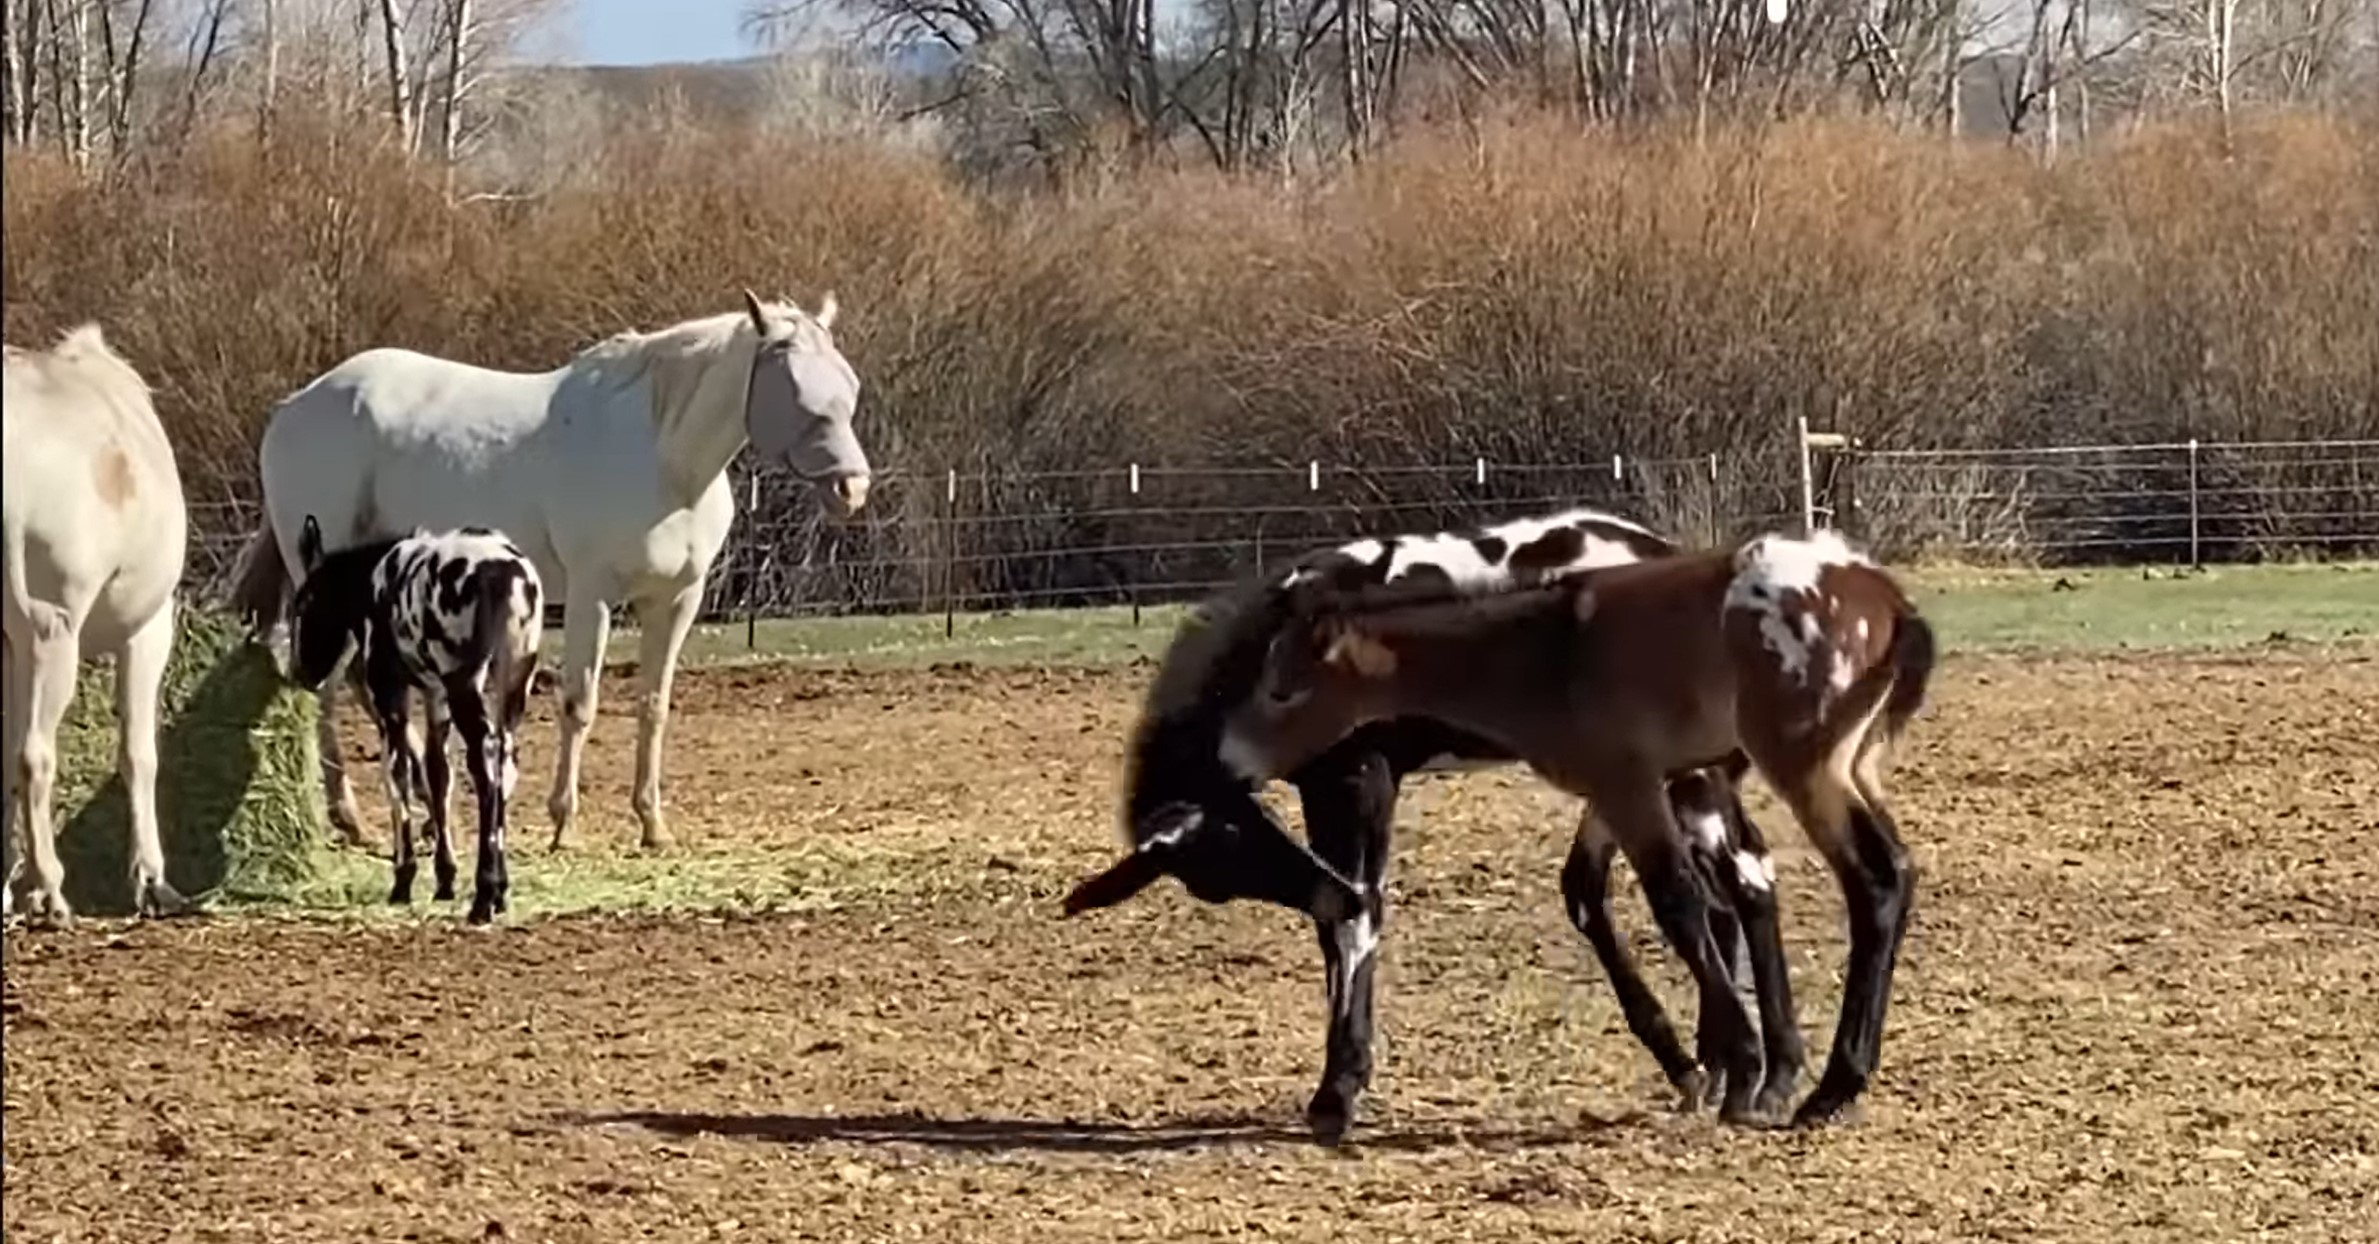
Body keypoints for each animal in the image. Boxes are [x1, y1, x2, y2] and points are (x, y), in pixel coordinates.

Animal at [2, 325, 190, 927]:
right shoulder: (149, 631)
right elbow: (139, 754)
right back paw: (51, 891)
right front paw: (151, 880)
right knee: (36, 757)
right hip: (52, 634)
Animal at [285, 516, 544, 922]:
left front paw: (403, 879)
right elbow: (438, 776)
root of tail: (506, 575)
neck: (375, 581)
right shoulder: (434, 695)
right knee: (505, 763)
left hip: (466, 685)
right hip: (514, 686)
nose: (301, 673)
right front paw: (445, 878)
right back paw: (499, 891)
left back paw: (484, 895)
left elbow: (398, 776)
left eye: (303, 603)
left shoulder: (390, 694)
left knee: (485, 765)